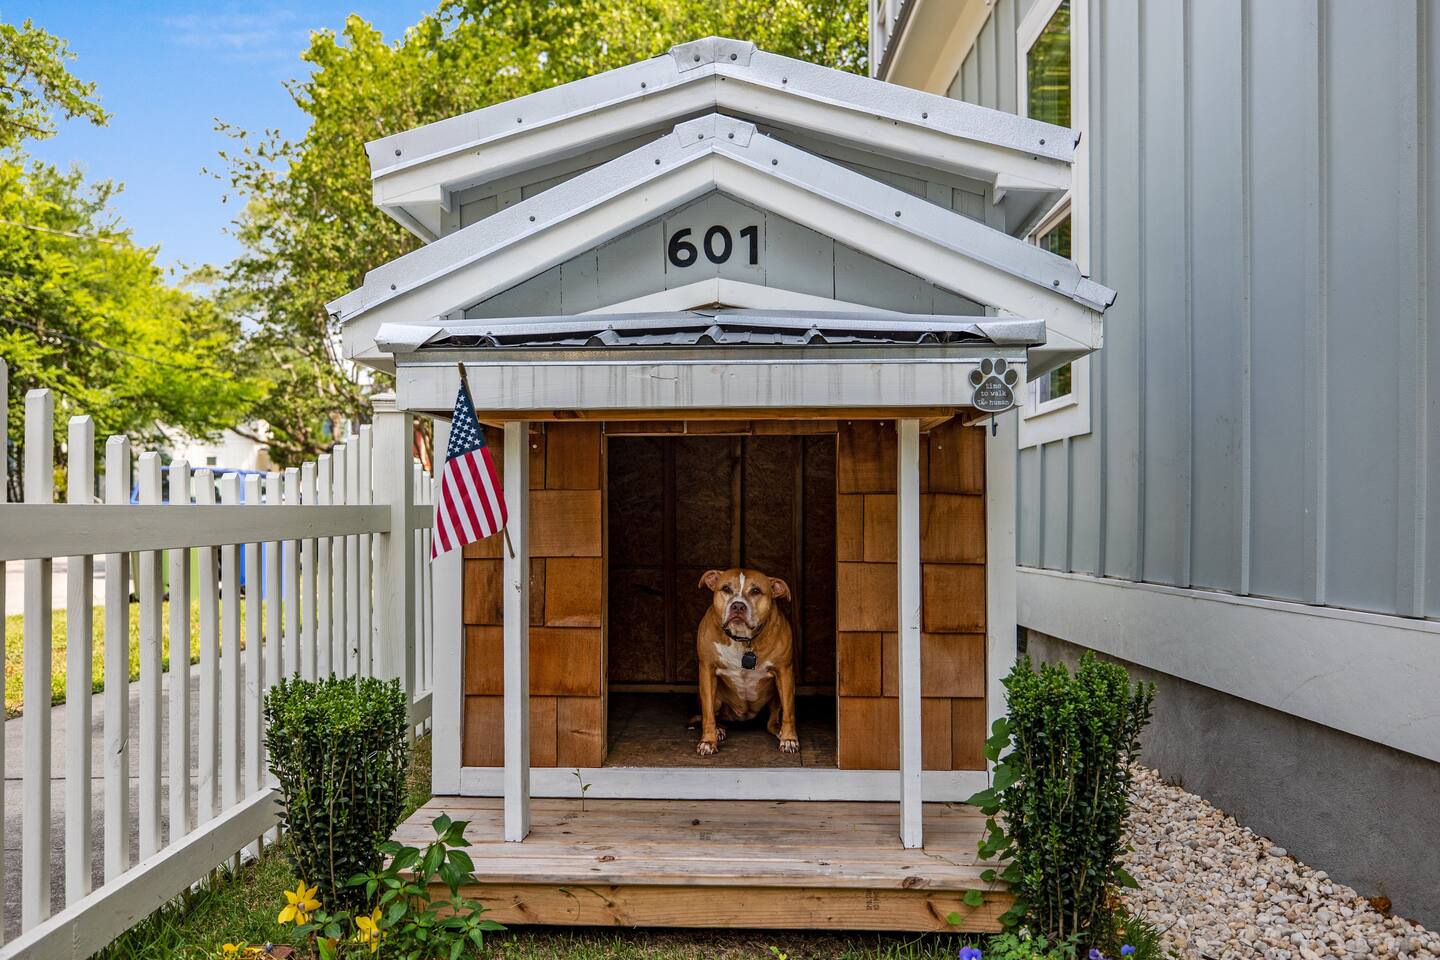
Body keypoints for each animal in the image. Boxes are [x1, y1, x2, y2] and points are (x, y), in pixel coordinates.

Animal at [693, 567, 798, 756]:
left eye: (756, 591)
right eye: (726, 588)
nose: (738, 605)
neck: (743, 640)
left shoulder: (784, 671)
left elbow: (789, 712)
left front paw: (789, 739)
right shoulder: (707, 669)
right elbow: (708, 713)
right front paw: (708, 741)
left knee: (771, 721)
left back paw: (779, 730)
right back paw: (719, 730)